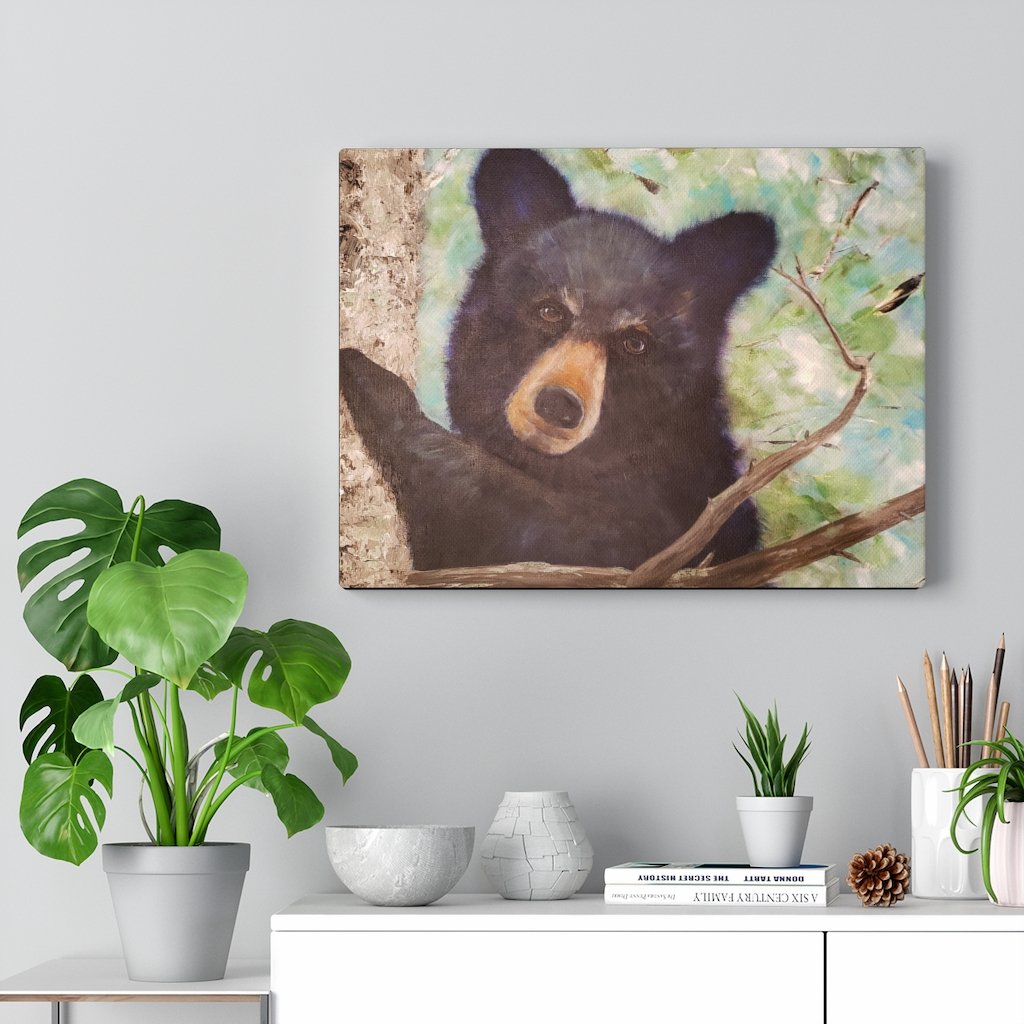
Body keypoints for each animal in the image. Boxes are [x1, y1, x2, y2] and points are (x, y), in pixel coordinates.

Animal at [339, 148, 777, 576]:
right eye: (551, 311)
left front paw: (372, 380)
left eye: (634, 342)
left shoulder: (676, 523)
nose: (558, 405)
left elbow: (551, 527)